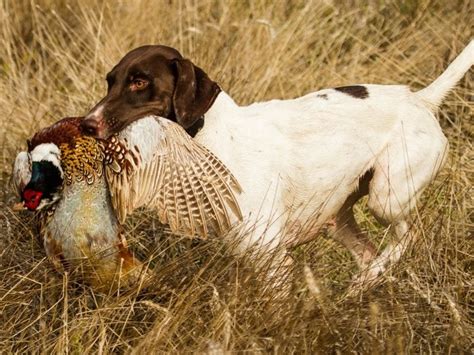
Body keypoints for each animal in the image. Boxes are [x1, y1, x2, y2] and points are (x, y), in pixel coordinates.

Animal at [81, 41, 474, 286]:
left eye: (139, 82)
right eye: (111, 81)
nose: (86, 124)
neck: (210, 140)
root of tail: (421, 100)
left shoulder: (273, 260)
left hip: (386, 198)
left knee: (409, 235)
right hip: (337, 217)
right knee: (368, 254)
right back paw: (362, 284)